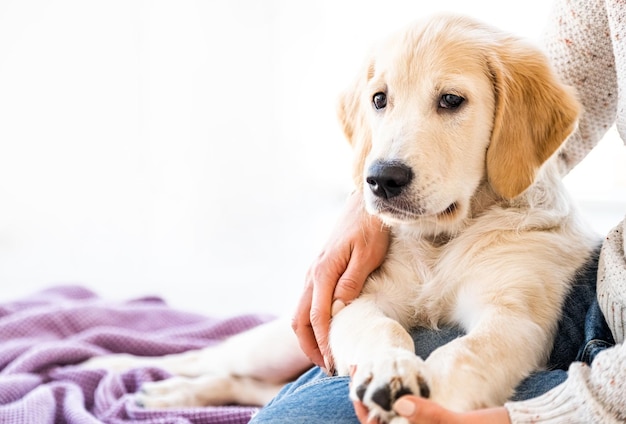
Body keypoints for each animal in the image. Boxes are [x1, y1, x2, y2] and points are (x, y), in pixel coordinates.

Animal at [83, 13, 596, 424]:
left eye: (452, 100)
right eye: (379, 100)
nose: (382, 178)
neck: (439, 239)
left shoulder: (513, 316)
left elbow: (467, 352)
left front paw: (421, 404)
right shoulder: (347, 300)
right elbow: (383, 329)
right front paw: (391, 370)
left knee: (239, 383)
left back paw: (162, 393)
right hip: (287, 337)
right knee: (205, 355)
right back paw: (117, 369)